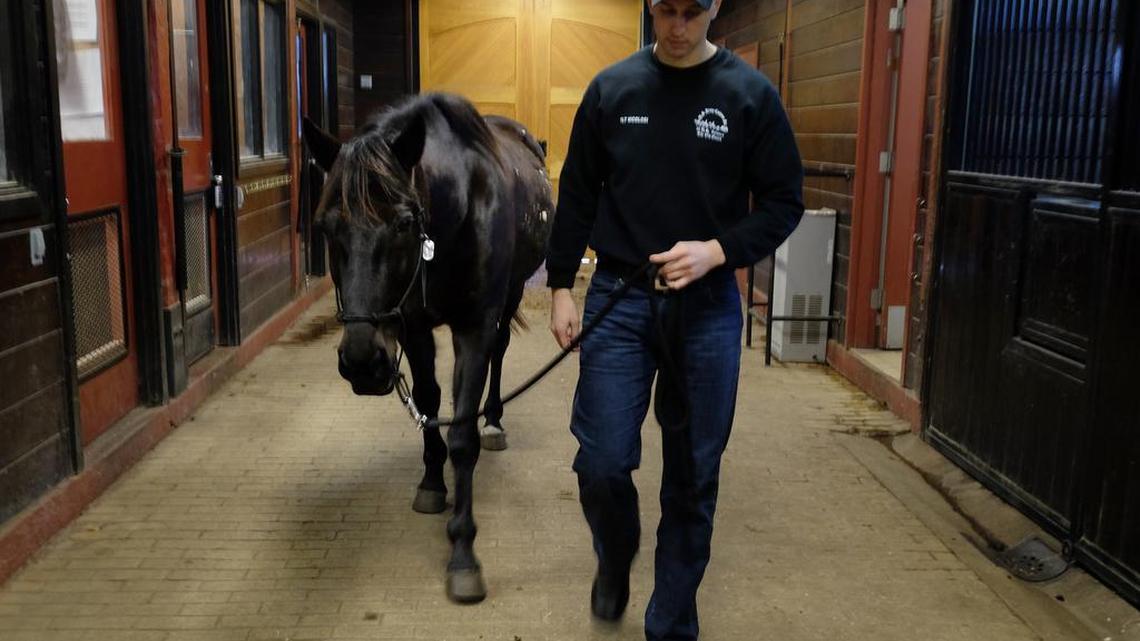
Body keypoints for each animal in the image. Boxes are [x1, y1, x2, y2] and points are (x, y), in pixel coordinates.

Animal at [303, 93, 554, 603]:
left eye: (403, 223)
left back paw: (494, 420)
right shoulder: (413, 327)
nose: (363, 362)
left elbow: (462, 434)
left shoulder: (473, 329)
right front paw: (433, 483)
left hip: (512, 294)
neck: (458, 214)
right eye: (325, 227)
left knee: (500, 354)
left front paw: (463, 551)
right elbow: (428, 402)